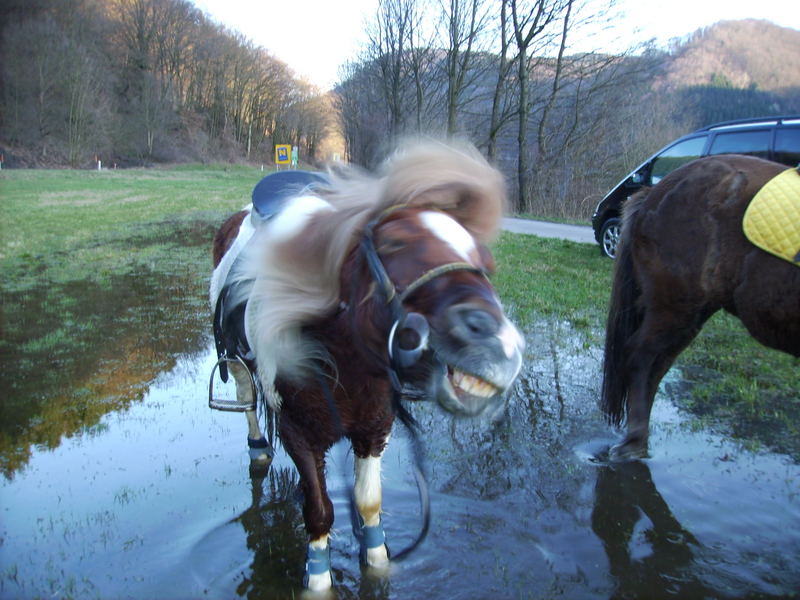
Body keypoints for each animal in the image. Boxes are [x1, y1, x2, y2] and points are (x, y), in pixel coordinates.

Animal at [208, 143, 524, 592]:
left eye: (485, 260)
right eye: (393, 242)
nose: (501, 347)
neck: (346, 359)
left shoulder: (375, 428)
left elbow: (369, 504)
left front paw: (376, 564)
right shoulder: (299, 435)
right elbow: (320, 513)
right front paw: (318, 581)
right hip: (236, 362)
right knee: (245, 395)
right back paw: (256, 448)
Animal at [604, 155, 796, 460]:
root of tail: (654, 191)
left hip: (691, 312)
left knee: (658, 364)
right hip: (675, 305)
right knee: (641, 356)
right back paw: (634, 441)